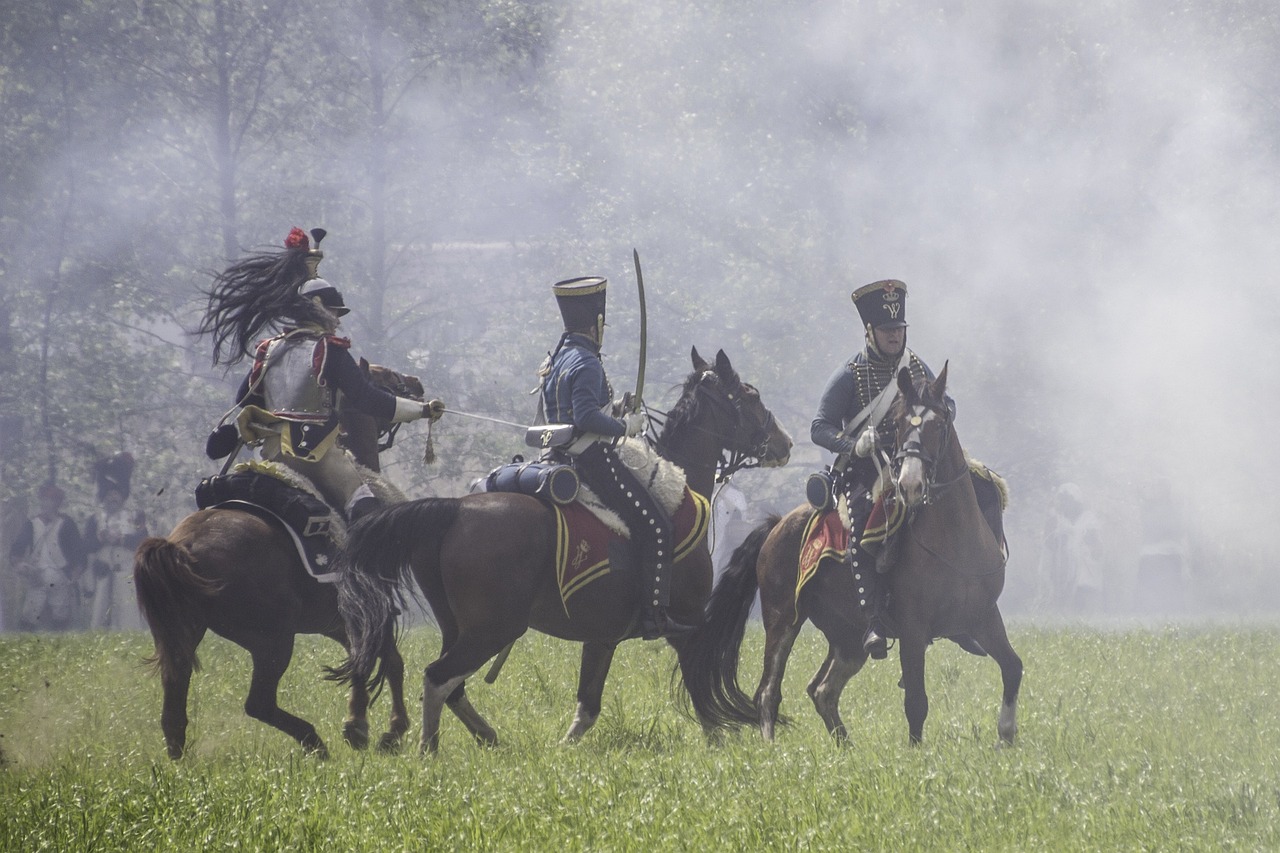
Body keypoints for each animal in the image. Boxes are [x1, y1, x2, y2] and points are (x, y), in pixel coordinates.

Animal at [135, 361, 424, 753]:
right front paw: (386, 730)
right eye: (383, 377)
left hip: (185, 635)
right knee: (259, 703)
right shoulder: (372, 610)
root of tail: (183, 547)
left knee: (175, 707)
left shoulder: (339, 620)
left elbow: (361, 660)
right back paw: (315, 743)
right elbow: (389, 661)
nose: (418, 385)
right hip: (272, 642)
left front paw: (358, 724)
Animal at [332, 345, 788, 753]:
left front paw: (563, 750)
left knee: (453, 686)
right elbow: (700, 687)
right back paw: (429, 749)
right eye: (750, 396)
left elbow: (588, 707)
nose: (783, 443)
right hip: (492, 630)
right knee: (437, 678)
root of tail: (453, 509)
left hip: (459, 627)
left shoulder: (602, 638)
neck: (675, 495)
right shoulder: (685, 625)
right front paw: (720, 744)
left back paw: (484, 736)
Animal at [686, 363, 1024, 742]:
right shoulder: (913, 629)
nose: (909, 484)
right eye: (900, 422)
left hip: (847, 638)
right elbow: (916, 701)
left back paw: (845, 746)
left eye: (939, 424)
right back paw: (772, 747)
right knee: (768, 691)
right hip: (782, 619)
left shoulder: (984, 617)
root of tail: (776, 526)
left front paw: (1005, 737)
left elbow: (1013, 668)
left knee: (822, 691)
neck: (953, 540)